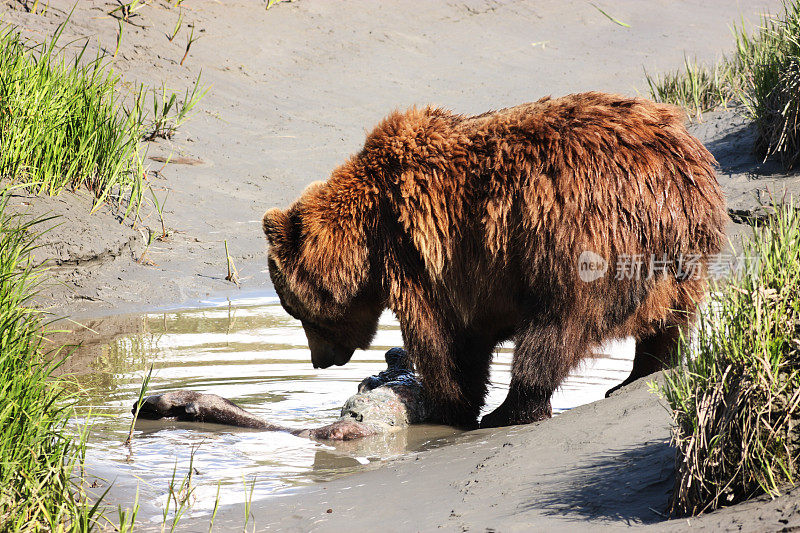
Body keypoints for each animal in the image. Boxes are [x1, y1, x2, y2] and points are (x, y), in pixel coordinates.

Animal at [262, 91, 724, 428]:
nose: (320, 360)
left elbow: (444, 340)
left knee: (553, 328)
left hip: (575, 238)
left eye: (293, 309)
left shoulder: (424, 256)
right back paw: (642, 371)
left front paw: (448, 404)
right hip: (678, 259)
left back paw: (513, 409)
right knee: (670, 317)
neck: (367, 244)